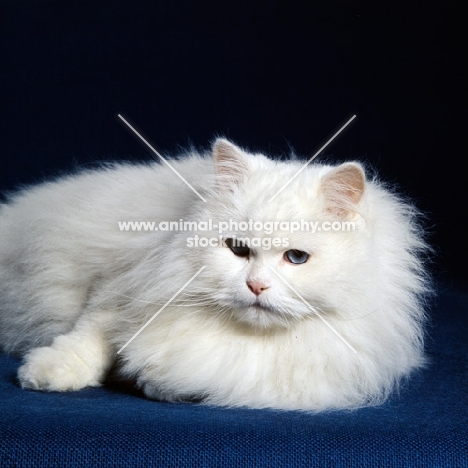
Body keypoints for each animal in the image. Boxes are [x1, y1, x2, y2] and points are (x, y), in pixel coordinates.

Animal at [0, 139, 432, 410]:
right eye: (237, 249)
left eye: (295, 258)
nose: (256, 285)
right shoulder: (120, 287)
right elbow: (87, 340)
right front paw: (43, 374)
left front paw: (154, 384)